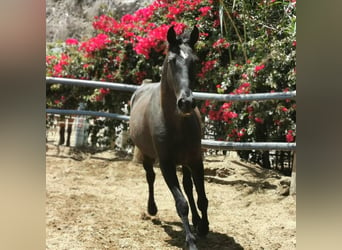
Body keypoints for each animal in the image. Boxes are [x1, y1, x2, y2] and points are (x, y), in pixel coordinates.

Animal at [129, 25, 207, 250]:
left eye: (195, 60)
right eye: (172, 61)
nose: (186, 102)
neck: (176, 123)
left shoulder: (195, 160)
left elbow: (201, 198)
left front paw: (204, 227)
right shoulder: (166, 164)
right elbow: (181, 204)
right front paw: (190, 240)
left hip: (185, 161)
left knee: (189, 187)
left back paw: (197, 221)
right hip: (147, 155)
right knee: (150, 177)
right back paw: (152, 209)